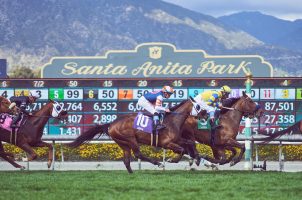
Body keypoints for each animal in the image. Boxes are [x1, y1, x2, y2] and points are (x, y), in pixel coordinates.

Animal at [68, 97, 203, 173]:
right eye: (198, 106)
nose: (205, 115)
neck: (172, 120)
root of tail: (111, 124)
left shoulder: (177, 139)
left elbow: (190, 143)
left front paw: (196, 158)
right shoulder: (167, 143)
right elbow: (182, 150)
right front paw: (172, 160)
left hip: (123, 143)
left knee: (126, 160)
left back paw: (132, 173)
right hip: (130, 139)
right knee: (138, 154)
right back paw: (158, 163)